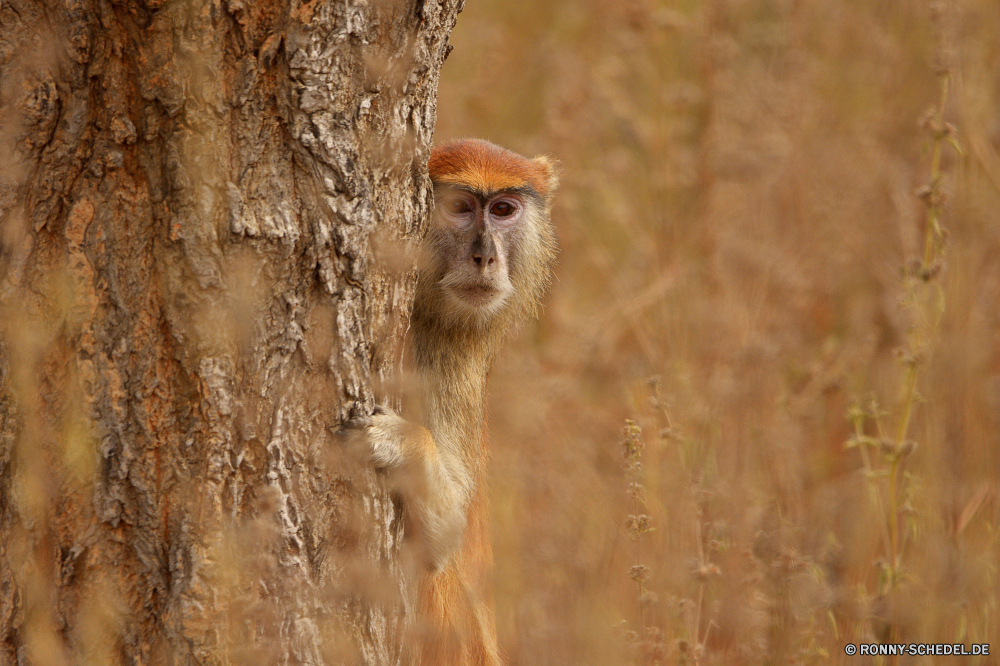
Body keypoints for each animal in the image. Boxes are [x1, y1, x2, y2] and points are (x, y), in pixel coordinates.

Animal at [354, 137, 556, 660]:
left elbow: (443, 536)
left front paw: (400, 443)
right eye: (461, 208)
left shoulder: (451, 350)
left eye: (502, 209)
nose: (485, 258)